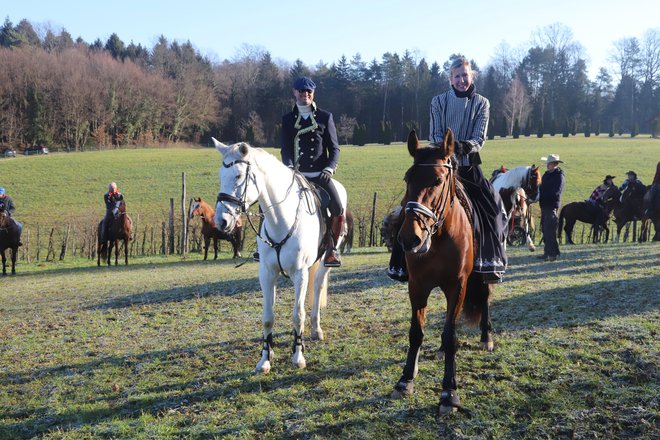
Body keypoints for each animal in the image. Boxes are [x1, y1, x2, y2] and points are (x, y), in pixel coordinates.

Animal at [211, 137, 348, 372]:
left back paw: (316, 329)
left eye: (238, 176)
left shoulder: (300, 273)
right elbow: (268, 317)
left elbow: (298, 314)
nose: (222, 221)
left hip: (323, 262)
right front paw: (265, 358)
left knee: (318, 286)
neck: (281, 220)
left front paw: (298, 356)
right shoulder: (267, 274)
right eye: (221, 176)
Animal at [392, 129, 496, 414]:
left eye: (438, 179)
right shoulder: (417, 286)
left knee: (484, 299)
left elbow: (451, 336)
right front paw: (405, 380)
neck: (439, 237)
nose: (410, 238)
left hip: (482, 276)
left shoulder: (457, 286)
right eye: (407, 178)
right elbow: (416, 332)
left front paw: (449, 392)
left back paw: (486, 337)